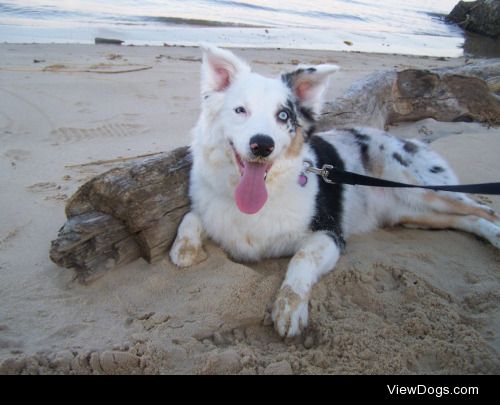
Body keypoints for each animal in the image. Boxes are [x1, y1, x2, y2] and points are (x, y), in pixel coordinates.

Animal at [169, 45, 500, 338]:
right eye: (240, 110)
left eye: (283, 116)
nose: (262, 145)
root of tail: (409, 141)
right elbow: (190, 219)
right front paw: (185, 249)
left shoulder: (330, 234)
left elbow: (301, 258)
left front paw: (290, 308)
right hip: (413, 214)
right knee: (469, 220)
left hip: (421, 190)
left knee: (485, 210)